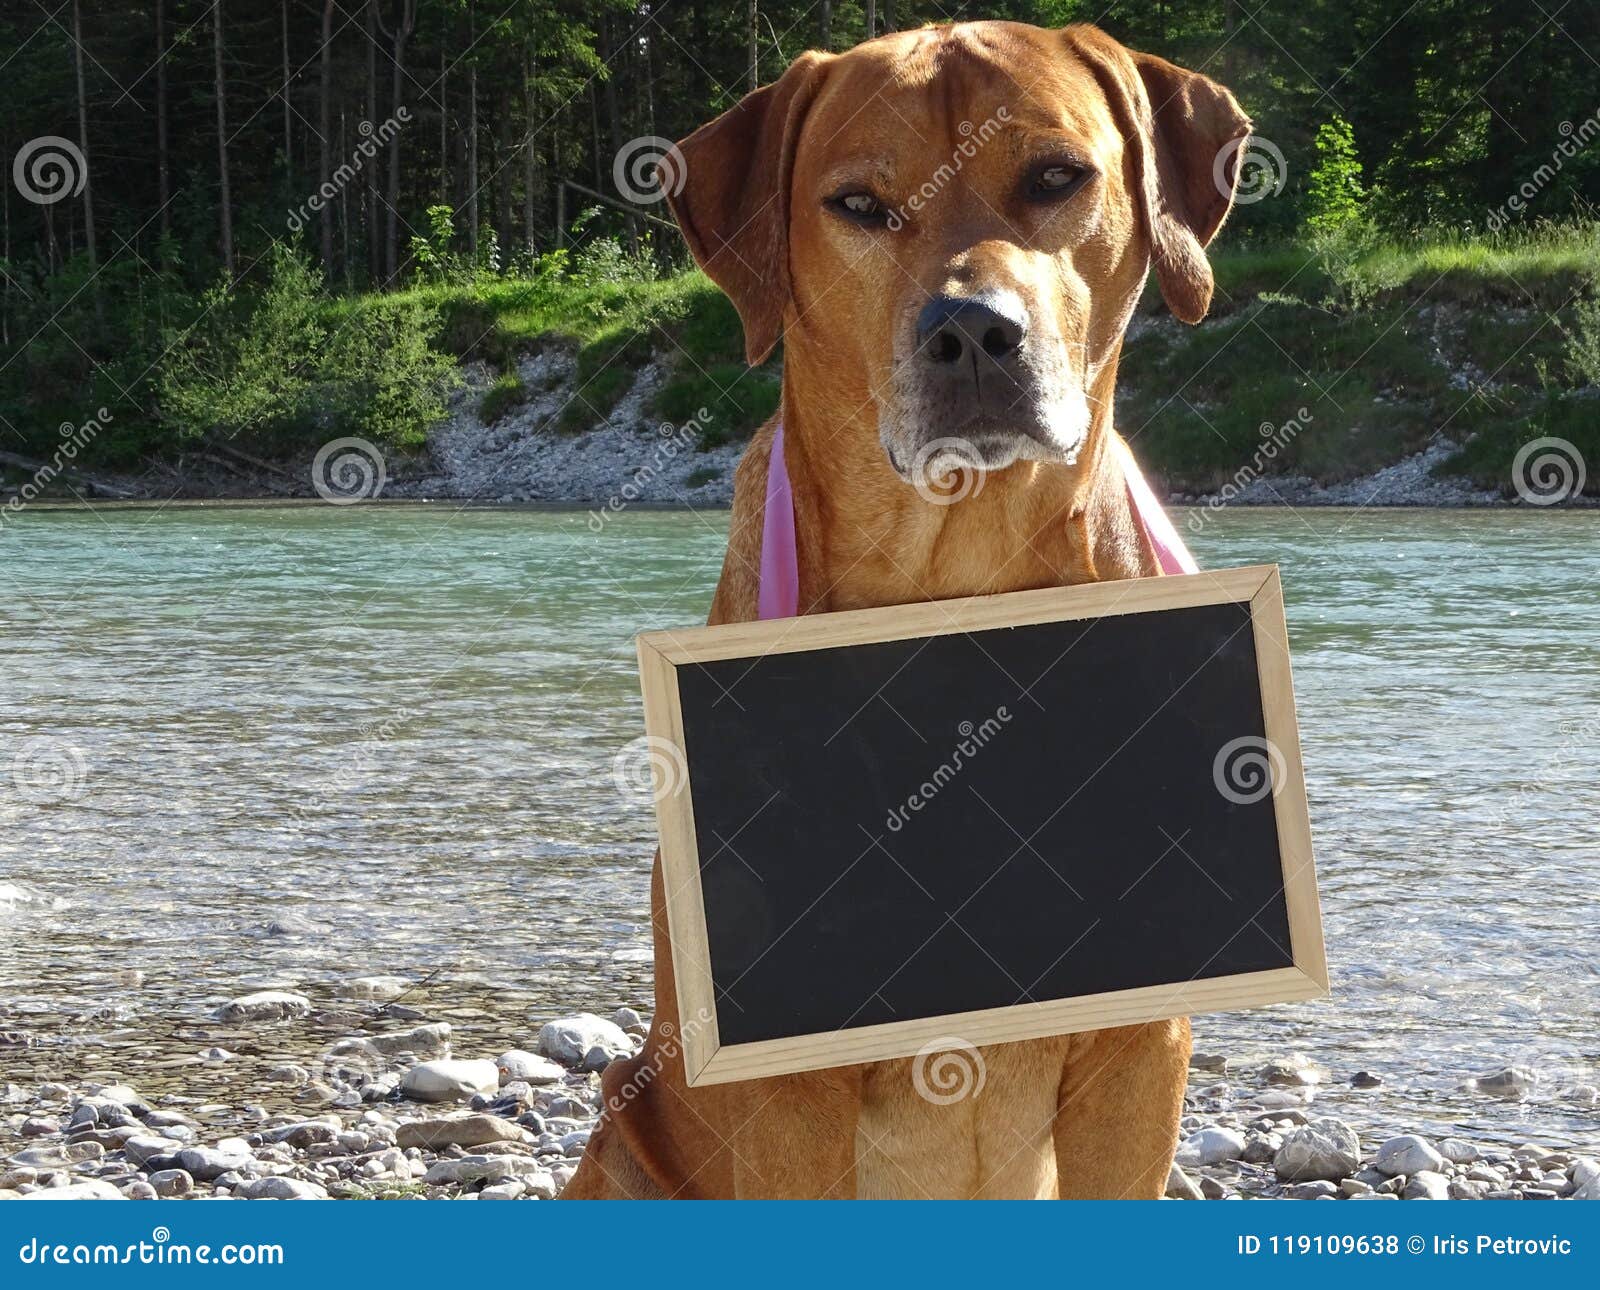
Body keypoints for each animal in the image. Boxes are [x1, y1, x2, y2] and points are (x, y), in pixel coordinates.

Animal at [563, 20, 1248, 1203]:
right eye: (858, 204)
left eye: (1055, 177)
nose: (972, 331)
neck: (953, 584)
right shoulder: (786, 1072)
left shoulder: (1138, 1041)